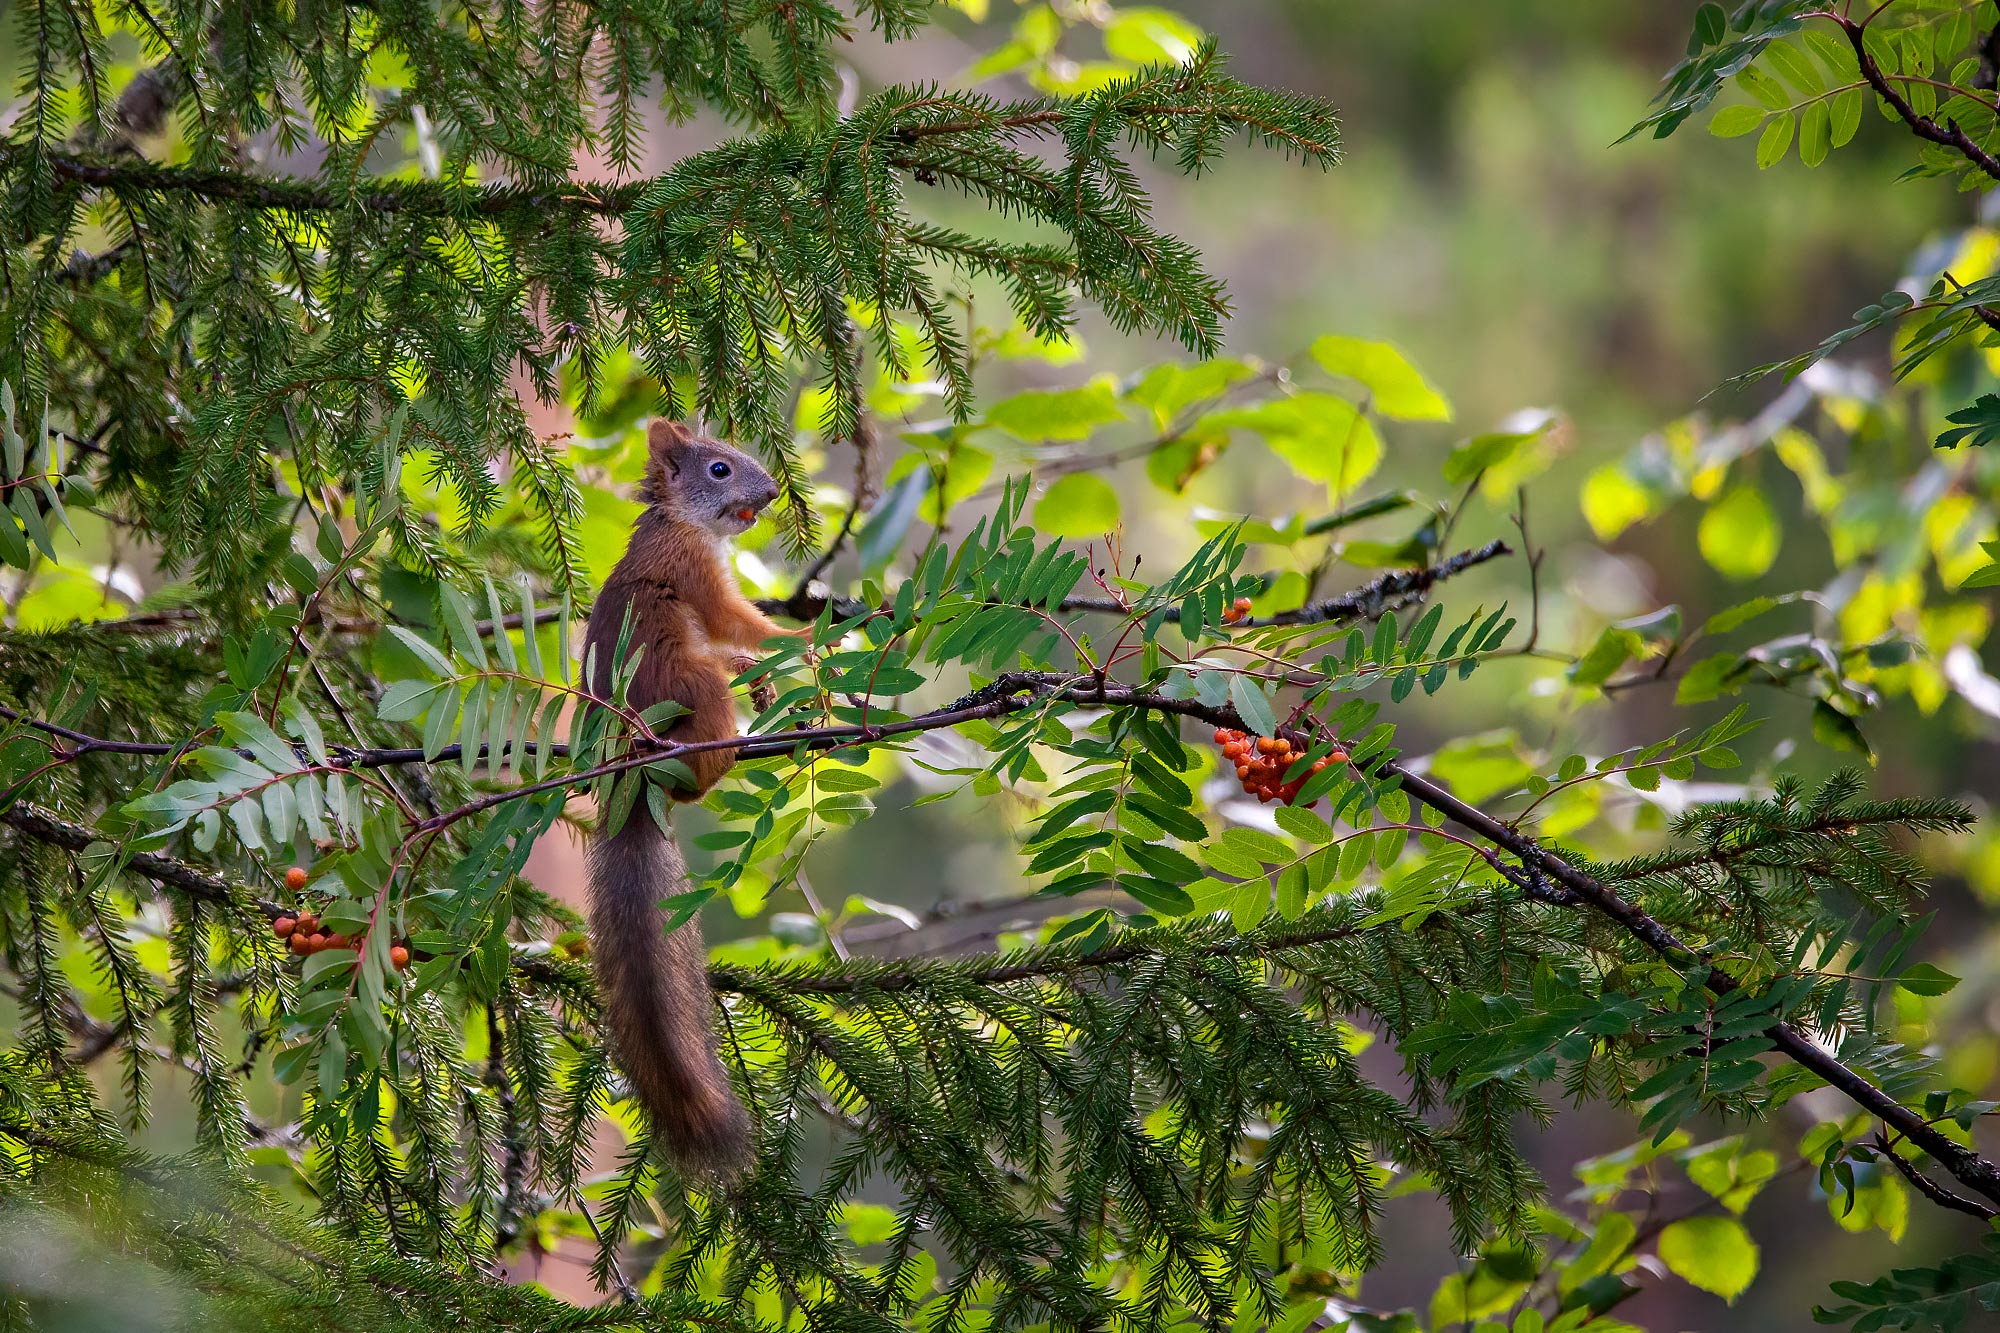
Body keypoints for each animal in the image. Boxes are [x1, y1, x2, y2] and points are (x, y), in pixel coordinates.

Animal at [580, 416, 796, 1176]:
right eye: (719, 469)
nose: (772, 491)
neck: (677, 521)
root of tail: (634, 775)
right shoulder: (695, 574)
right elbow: (740, 622)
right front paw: (808, 639)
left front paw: (768, 671)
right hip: (691, 682)